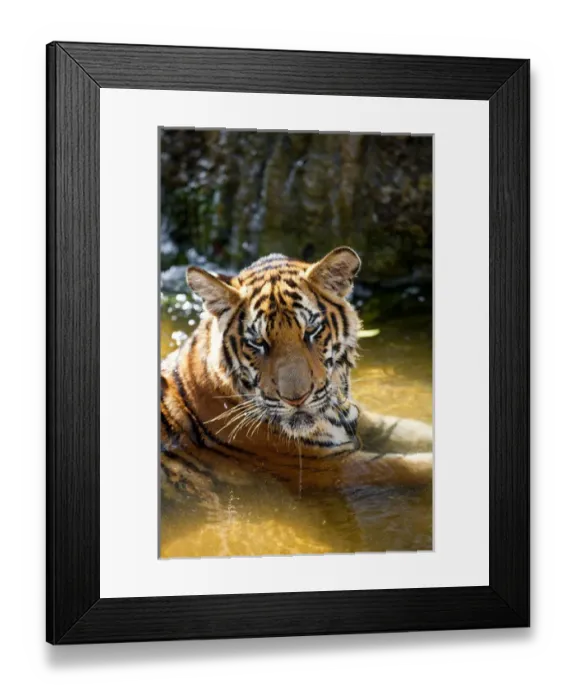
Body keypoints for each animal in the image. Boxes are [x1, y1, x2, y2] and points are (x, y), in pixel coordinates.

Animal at [160, 247, 433, 507]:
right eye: (258, 342)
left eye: (311, 331)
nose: (296, 399)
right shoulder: (328, 467)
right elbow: (405, 467)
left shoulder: (360, 418)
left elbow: (412, 430)